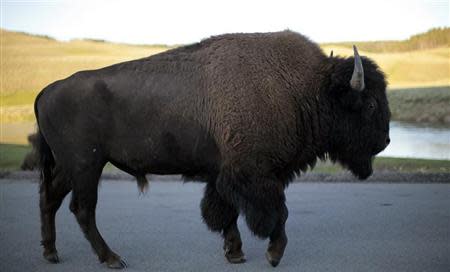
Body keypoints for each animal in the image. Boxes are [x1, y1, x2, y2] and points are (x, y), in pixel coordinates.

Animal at [35, 30, 388, 268]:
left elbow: (225, 213)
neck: (305, 90)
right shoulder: (255, 175)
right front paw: (273, 254)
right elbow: (277, 212)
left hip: (70, 168)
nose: (384, 142)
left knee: (51, 200)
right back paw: (111, 258)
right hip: (86, 167)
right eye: (370, 103)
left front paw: (235, 253)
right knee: (82, 209)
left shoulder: (223, 175)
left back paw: (51, 253)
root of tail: (46, 92)